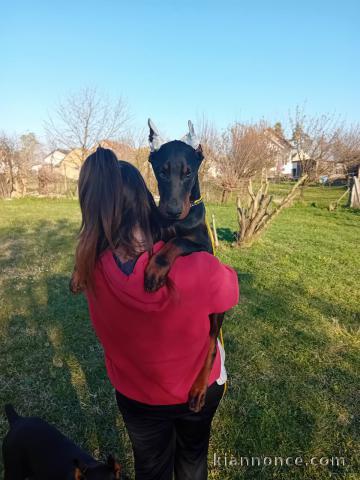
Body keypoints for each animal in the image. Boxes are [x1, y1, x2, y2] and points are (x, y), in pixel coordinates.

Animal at [144, 119, 225, 412]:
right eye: (162, 172)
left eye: (189, 173)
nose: (172, 211)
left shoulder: (201, 244)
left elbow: (177, 242)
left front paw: (155, 270)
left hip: (217, 315)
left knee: (211, 345)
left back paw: (199, 390)